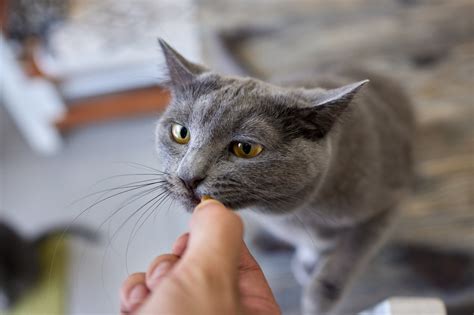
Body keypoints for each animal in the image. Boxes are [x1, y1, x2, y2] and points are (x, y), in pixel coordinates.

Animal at [154, 40, 412, 315]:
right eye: (181, 133)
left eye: (246, 148)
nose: (188, 177)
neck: (299, 212)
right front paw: (308, 262)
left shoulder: (389, 203)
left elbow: (352, 250)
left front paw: (318, 298)